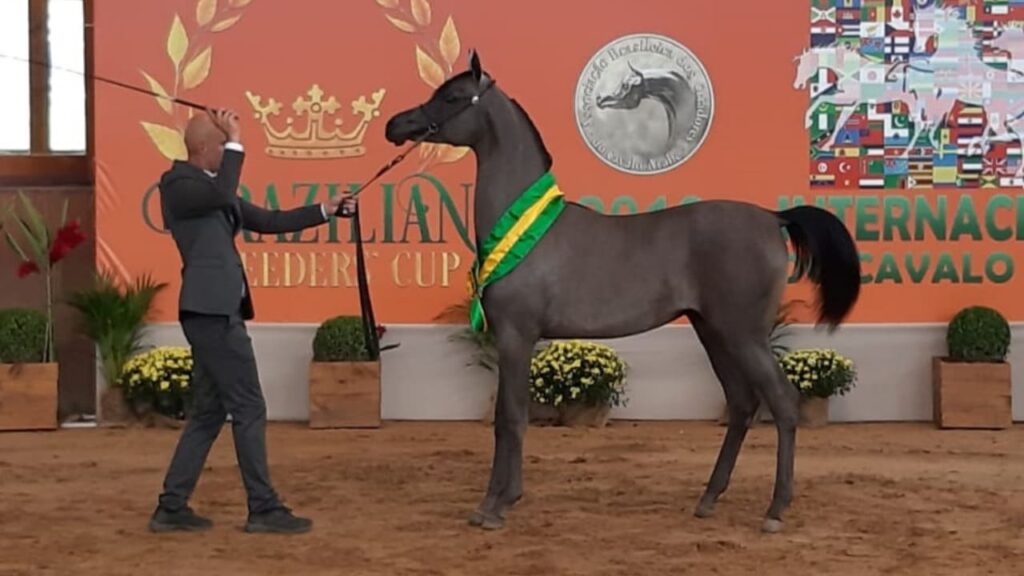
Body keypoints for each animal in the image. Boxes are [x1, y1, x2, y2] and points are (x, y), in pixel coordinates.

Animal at [384, 50, 862, 534]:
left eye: (452, 97)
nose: (395, 125)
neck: (527, 225)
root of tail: (772, 217)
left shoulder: (516, 336)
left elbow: (510, 418)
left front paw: (495, 506)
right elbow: (506, 416)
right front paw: (496, 502)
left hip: (744, 334)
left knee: (781, 402)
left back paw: (775, 510)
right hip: (714, 332)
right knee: (743, 403)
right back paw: (708, 498)